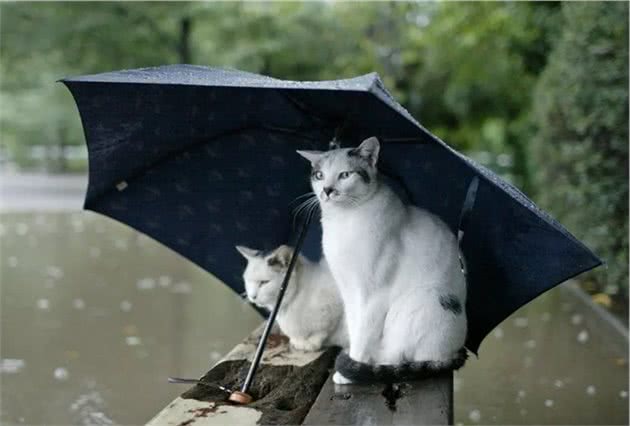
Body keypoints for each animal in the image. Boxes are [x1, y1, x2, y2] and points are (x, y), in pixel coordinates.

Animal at [298, 138, 470, 384]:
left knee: (401, 357)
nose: (327, 190)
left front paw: (350, 370)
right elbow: (354, 327)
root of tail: (454, 351)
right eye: (319, 175)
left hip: (421, 302)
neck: (344, 220)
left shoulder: (373, 295)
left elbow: (363, 334)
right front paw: (352, 360)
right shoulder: (348, 291)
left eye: (345, 175)